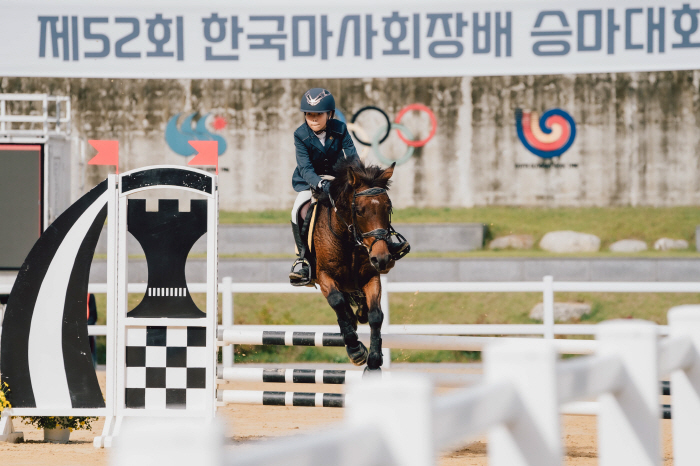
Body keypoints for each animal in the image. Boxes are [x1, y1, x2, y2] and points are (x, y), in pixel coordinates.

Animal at [308, 158, 402, 374]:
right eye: (359, 212)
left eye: (388, 208)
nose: (382, 258)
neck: (349, 239)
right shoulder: (324, 276)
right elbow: (336, 301)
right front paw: (356, 351)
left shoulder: (371, 277)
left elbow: (376, 315)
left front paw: (374, 361)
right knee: (342, 305)